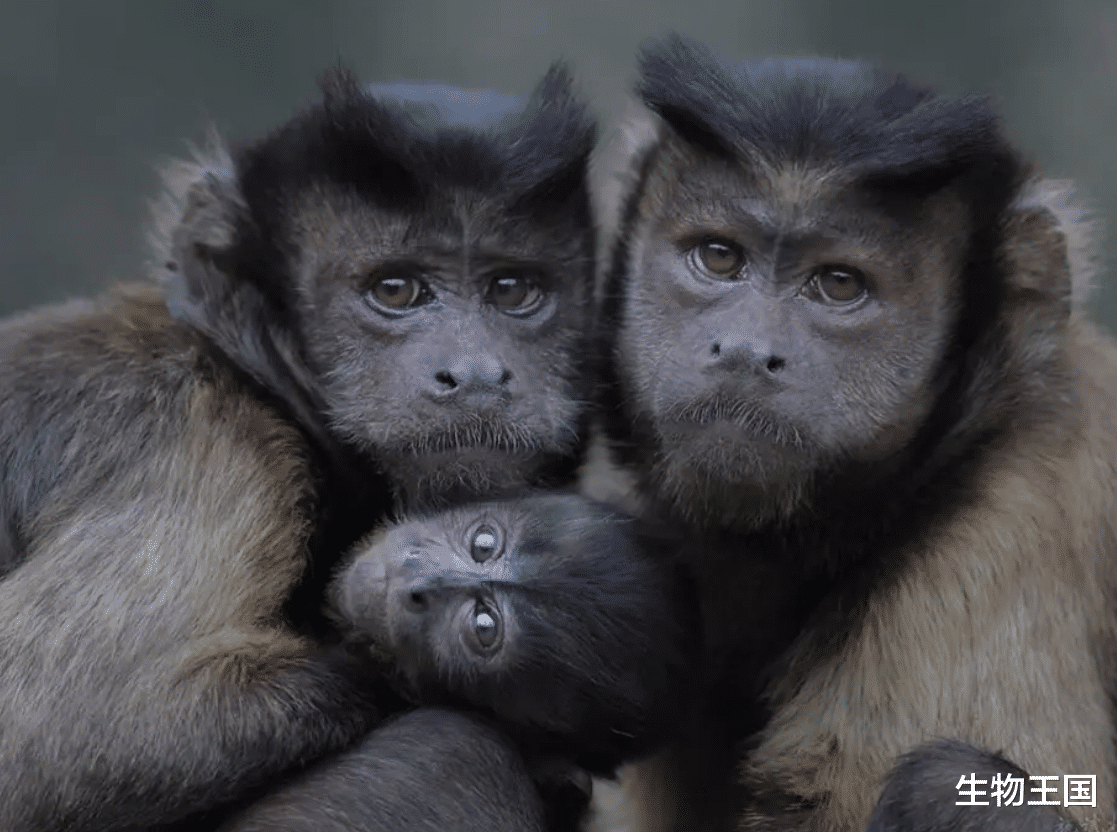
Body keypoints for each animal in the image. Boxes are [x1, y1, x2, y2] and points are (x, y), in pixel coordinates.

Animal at [0, 66, 598, 830]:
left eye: (513, 290)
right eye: (395, 290)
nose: (473, 373)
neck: (252, 373)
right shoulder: (209, 437)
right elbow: (58, 738)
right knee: (454, 751)